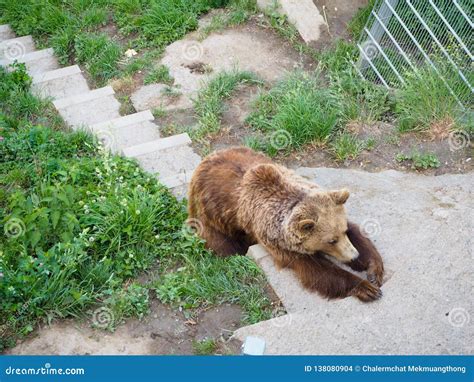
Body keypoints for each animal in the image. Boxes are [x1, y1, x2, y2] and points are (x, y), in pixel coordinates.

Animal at [187, 146, 384, 302]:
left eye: (342, 232)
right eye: (331, 241)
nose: (353, 256)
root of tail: (206, 159)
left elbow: (358, 235)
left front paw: (373, 271)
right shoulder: (279, 243)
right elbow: (317, 271)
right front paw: (366, 288)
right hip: (211, 215)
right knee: (222, 243)